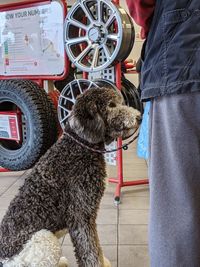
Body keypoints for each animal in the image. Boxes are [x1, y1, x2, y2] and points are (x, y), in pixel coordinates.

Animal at [0, 87, 141, 266]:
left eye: (121, 102)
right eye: (111, 105)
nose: (139, 117)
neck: (80, 146)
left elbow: (97, 247)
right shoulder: (80, 215)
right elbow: (90, 252)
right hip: (45, 238)